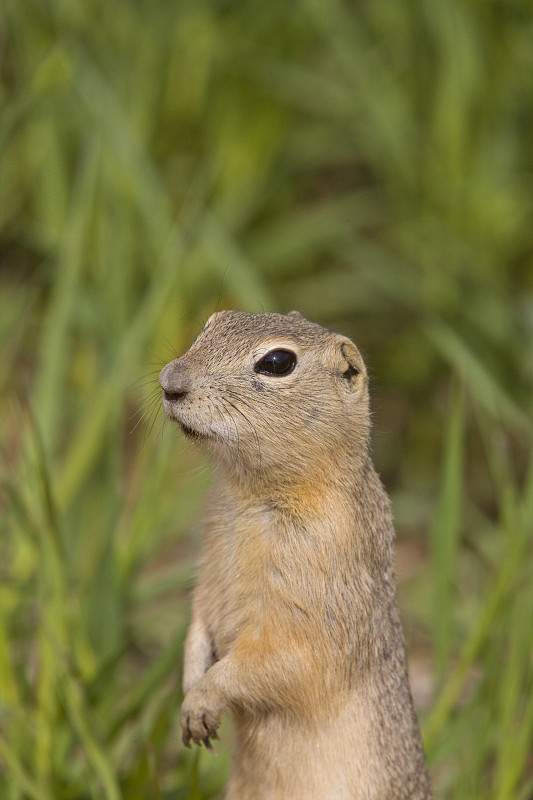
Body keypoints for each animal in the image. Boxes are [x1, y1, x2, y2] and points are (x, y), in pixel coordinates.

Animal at [159, 310, 432, 796]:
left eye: (278, 362)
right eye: (213, 322)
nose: (169, 381)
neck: (249, 492)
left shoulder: (308, 605)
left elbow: (278, 662)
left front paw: (202, 700)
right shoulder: (208, 569)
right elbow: (198, 625)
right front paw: (190, 687)